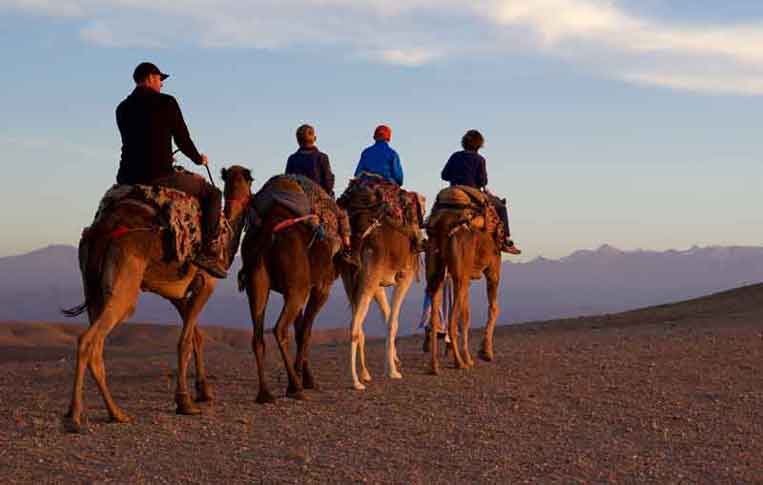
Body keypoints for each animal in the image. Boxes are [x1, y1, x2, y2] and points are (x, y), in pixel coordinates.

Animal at [62, 166, 254, 432]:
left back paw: (114, 413)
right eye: (252, 180)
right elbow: (185, 341)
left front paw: (203, 391)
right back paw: (75, 417)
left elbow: (196, 337)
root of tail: (101, 231)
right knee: (88, 340)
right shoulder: (206, 284)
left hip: (94, 289)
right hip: (124, 289)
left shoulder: (175, 293)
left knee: (96, 346)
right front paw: (184, 402)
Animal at [240, 176, 342, 402]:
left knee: (257, 335)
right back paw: (296, 388)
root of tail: (268, 231)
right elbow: (305, 331)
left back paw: (265, 393)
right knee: (279, 328)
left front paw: (303, 377)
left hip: (256, 282)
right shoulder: (320, 288)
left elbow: (300, 328)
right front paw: (304, 380)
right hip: (298, 289)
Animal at [340, 181, 420, 390]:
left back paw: (364, 374)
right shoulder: (404, 277)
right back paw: (356, 382)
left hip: (351, 280)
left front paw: (394, 361)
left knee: (356, 325)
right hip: (369, 277)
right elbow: (392, 322)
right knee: (354, 326)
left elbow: (387, 317)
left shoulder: (379, 285)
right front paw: (392, 371)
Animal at [424, 191, 502, 372]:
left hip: (436, 268)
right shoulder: (493, 267)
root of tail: (443, 223)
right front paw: (485, 352)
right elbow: (494, 308)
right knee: (452, 321)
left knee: (435, 310)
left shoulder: (467, 278)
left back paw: (434, 365)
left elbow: (466, 316)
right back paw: (459, 363)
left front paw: (470, 357)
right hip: (460, 273)